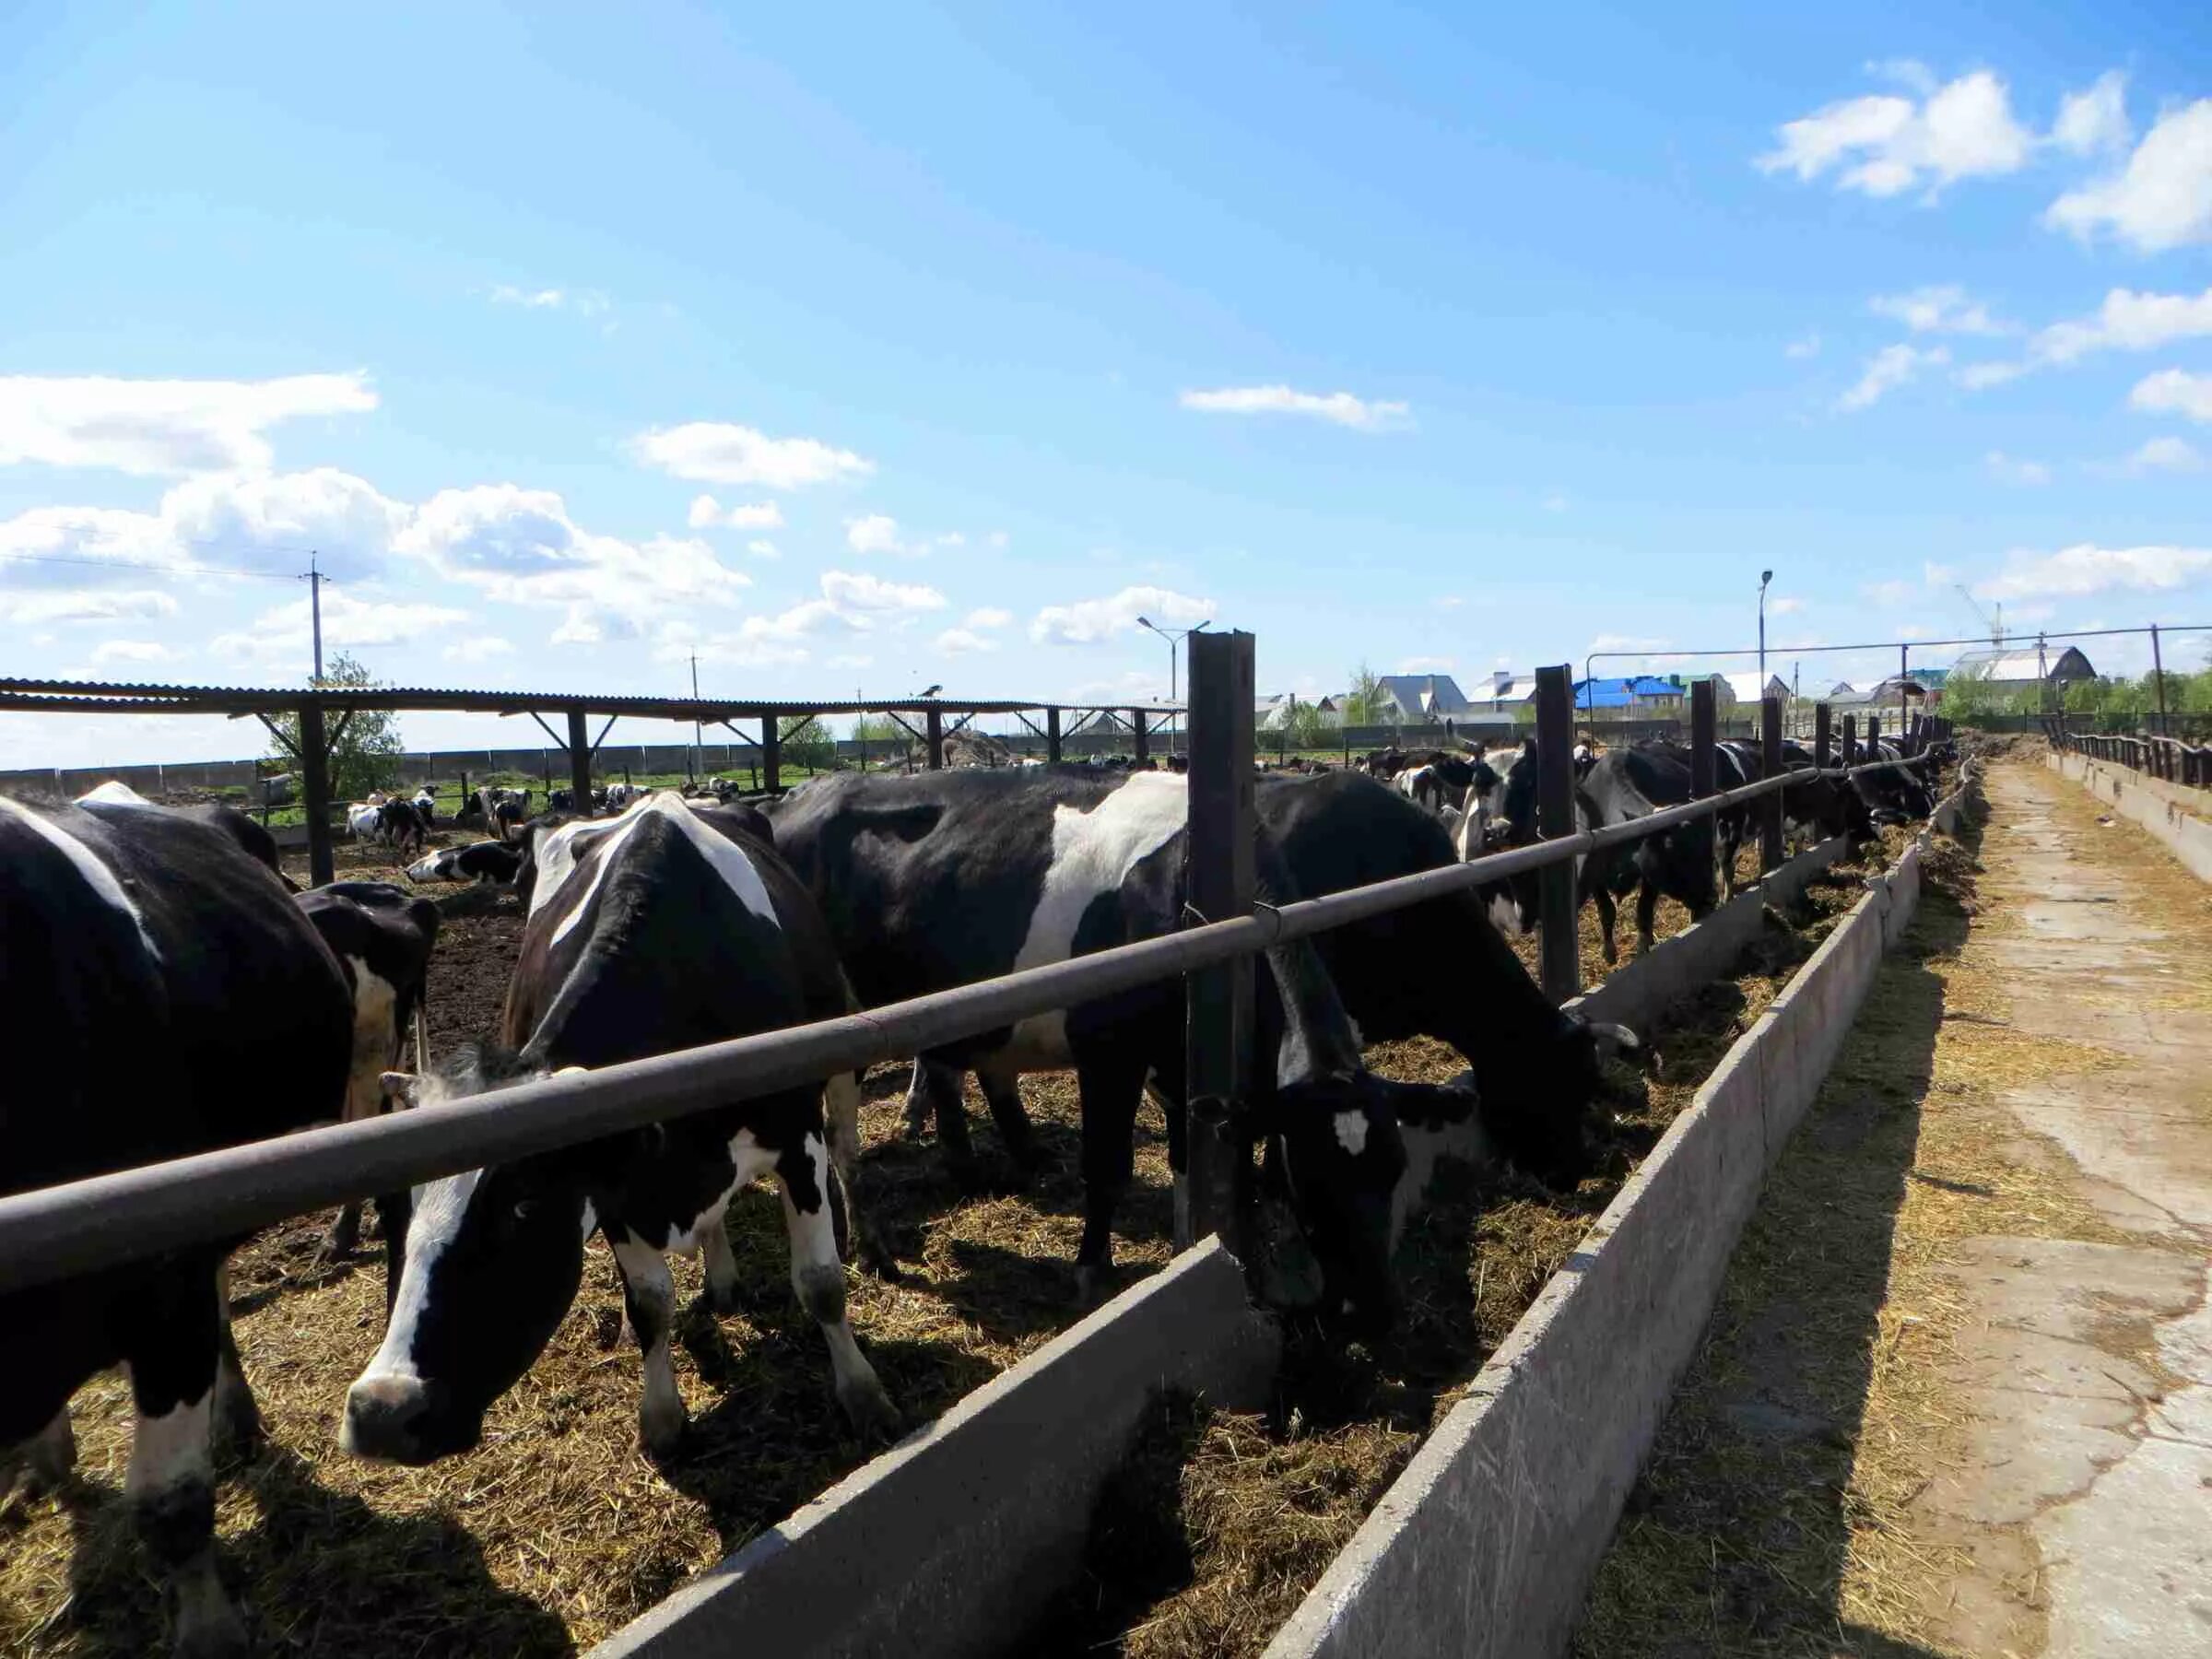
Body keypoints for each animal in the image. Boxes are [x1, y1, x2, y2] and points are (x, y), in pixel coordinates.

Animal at [340, 796, 893, 1468]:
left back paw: (869, 1242)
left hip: (839, 1061)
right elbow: (649, 1304)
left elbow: (821, 1282)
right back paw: (722, 1281)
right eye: (395, 1207)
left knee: (847, 1149)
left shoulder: (794, 1137)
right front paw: (661, 1420)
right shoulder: (616, 1181)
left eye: (523, 1206)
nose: (382, 1413)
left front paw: (863, 1393)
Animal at [765, 770, 1486, 1335]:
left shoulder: (1182, 1063)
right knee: (841, 1131)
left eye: (1395, 1167)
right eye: (1310, 1180)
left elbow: (1196, 1161)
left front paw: (1196, 1250)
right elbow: (1108, 1167)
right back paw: (872, 1246)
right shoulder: (1107, 1053)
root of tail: (796, 796)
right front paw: (1093, 1271)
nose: (1377, 1314)